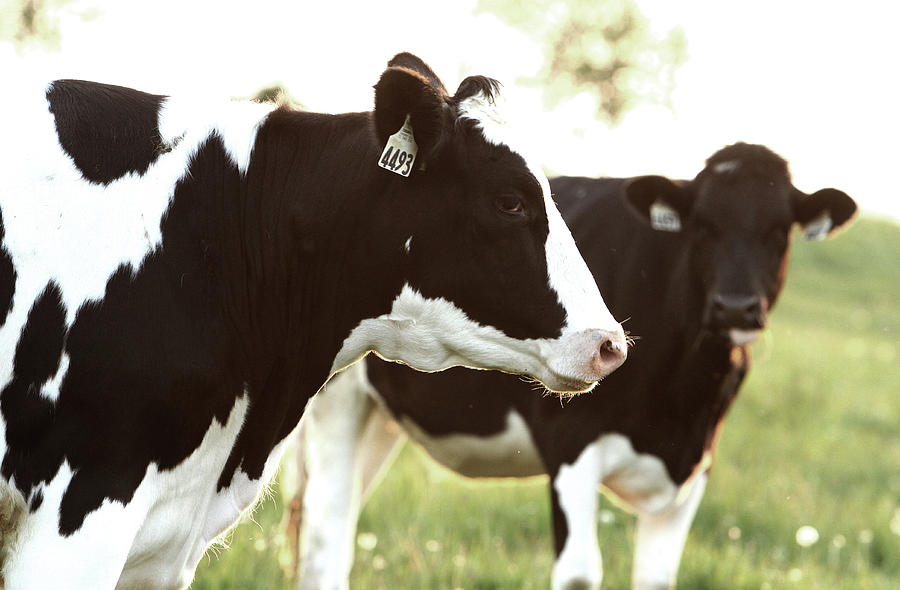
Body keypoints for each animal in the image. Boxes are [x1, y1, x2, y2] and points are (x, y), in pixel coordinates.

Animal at [290, 143, 856, 590]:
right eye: (702, 226)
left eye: (779, 230)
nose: (735, 307)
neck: (680, 395)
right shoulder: (570, 437)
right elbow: (580, 572)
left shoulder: (698, 464)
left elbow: (657, 578)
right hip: (335, 399)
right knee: (324, 526)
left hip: (379, 418)